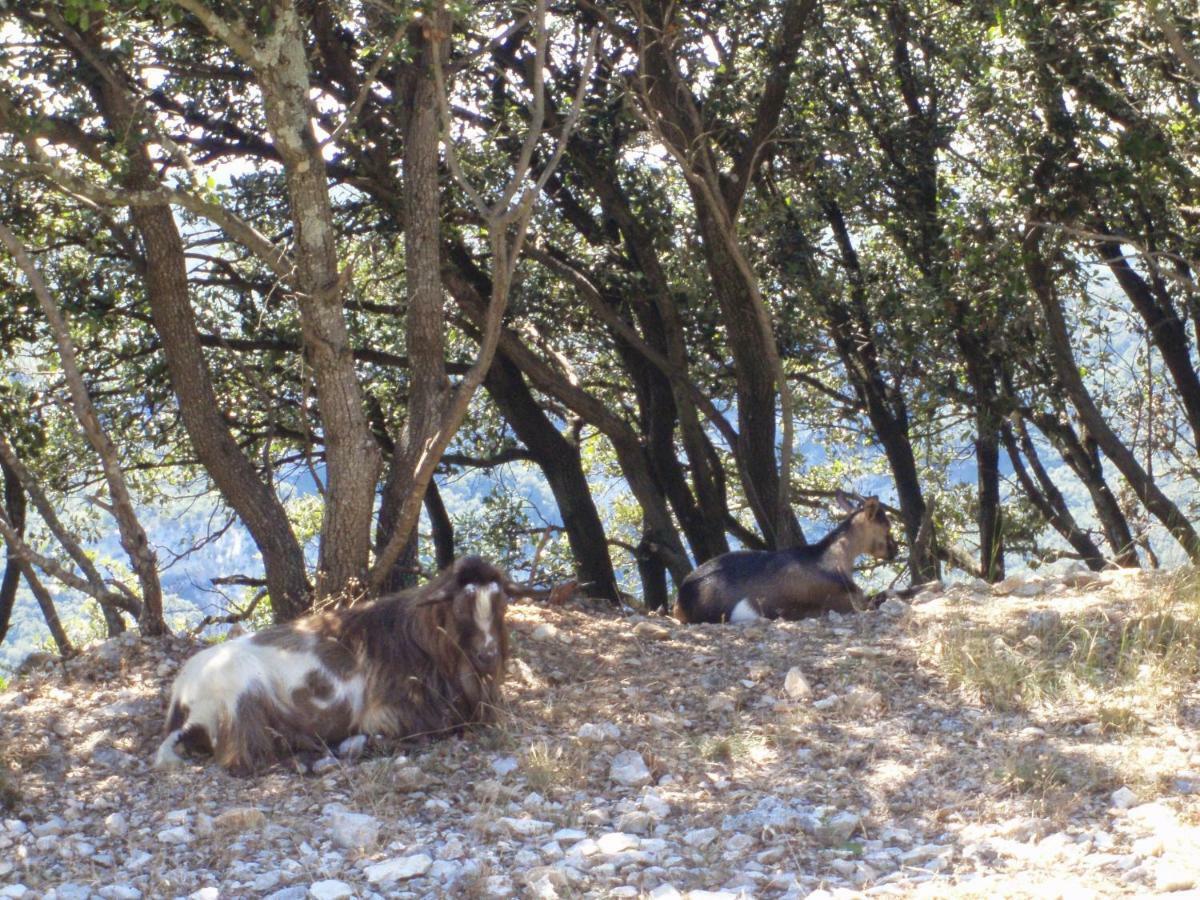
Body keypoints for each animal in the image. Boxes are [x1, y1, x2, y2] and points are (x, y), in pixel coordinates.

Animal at [154, 556, 511, 777]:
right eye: (461, 608)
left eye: (501, 605)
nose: (488, 655)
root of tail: (183, 704)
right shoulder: (385, 714)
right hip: (242, 698)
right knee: (244, 758)